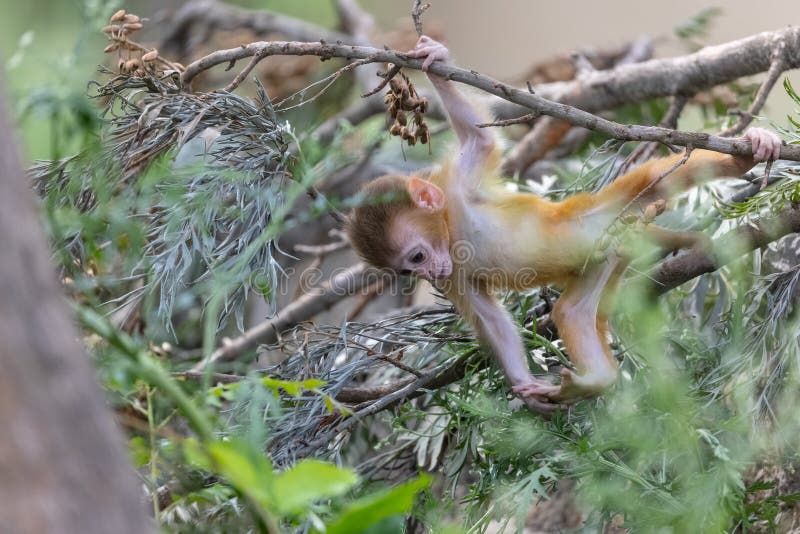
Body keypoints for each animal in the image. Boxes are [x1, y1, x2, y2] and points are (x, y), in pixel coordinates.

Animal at [345, 36, 783, 414]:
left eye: (417, 257)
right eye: (408, 269)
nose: (428, 276)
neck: (452, 229)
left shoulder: (458, 188)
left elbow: (480, 140)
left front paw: (435, 60)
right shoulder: (453, 274)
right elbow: (491, 320)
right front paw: (526, 391)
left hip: (607, 210)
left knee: (657, 176)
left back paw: (742, 158)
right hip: (605, 259)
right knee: (572, 312)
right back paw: (596, 378)